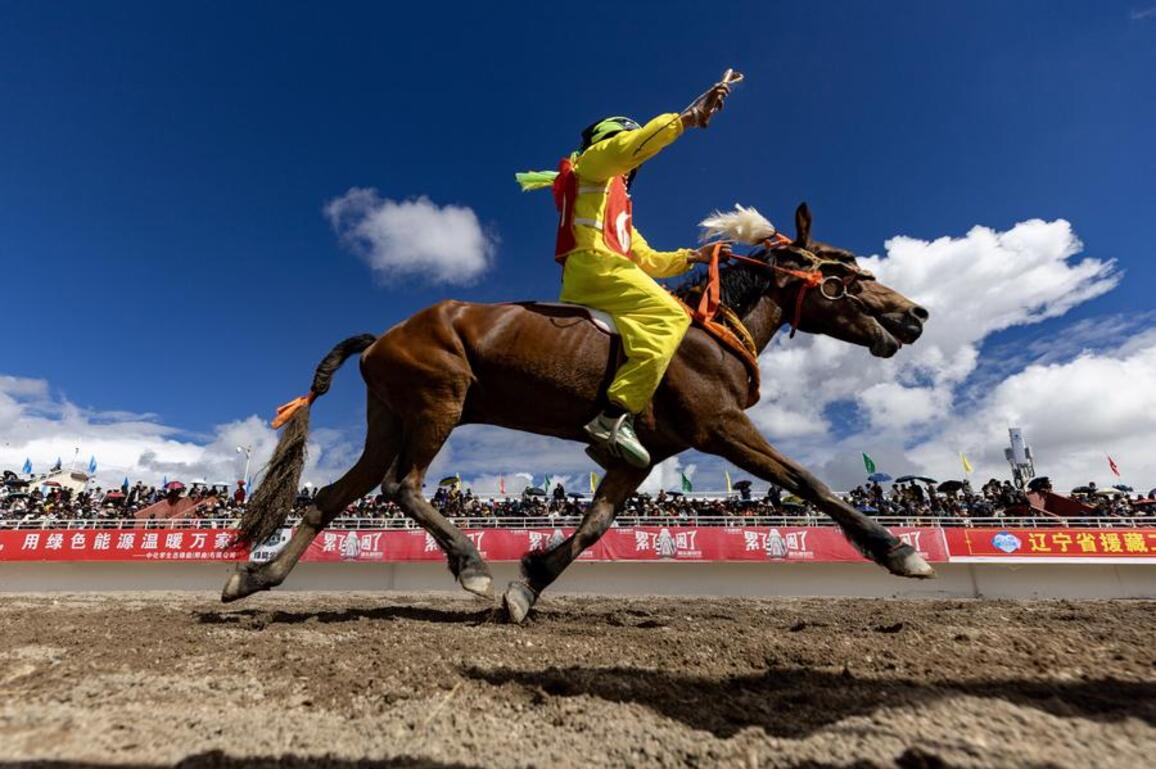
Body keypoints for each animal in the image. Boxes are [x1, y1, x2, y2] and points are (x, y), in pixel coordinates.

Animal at [222, 203, 933, 622]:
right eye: (845, 266)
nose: (916, 312)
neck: (708, 331)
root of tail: (383, 337)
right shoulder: (722, 427)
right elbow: (809, 481)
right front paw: (898, 550)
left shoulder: (643, 456)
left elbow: (594, 525)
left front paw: (531, 580)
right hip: (437, 403)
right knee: (404, 485)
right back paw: (471, 566)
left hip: (390, 421)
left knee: (330, 499)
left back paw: (256, 577)